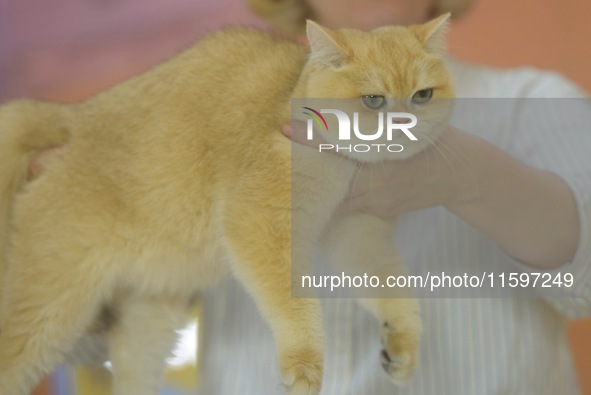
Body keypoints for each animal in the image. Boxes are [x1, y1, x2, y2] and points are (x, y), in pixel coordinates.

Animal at [0, 15, 454, 395]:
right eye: (374, 100)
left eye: (423, 95)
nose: (407, 124)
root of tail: (70, 118)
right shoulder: (258, 221)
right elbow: (293, 304)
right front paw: (304, 364)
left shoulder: (354, 231)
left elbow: (389, 280)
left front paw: (402, 341)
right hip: (47, 314)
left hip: (150, 320)